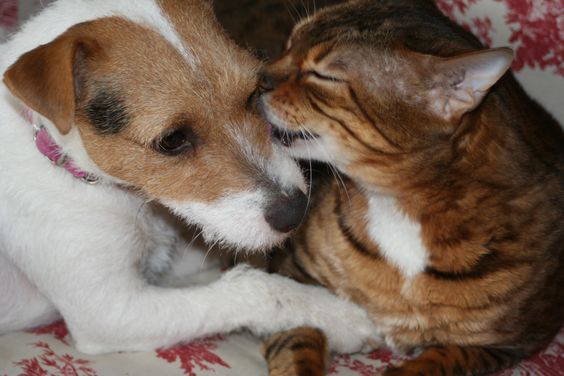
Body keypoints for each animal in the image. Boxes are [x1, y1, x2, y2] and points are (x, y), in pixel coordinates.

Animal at [0, 0, 378, 356]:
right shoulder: (110, 311)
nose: (296, 211)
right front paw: (334, 315)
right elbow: (254, 287)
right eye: (172, 139)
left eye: (253, 92)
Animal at [254, 0, 564, 376]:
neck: (400, 203)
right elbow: (299, 334)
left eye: (324, 76)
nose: (258, 75)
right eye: (289, 43)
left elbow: (448, 357)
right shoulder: (292, 270)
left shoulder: (508, 342)